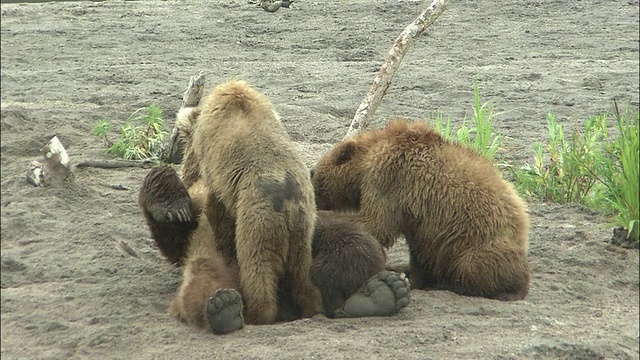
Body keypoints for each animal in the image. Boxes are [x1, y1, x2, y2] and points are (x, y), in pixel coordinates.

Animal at [310, 120, 528, 300]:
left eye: (312, 174)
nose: (310, 177)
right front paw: (413, 277)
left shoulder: (388, 177)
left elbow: (375, 223)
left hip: (481, 241)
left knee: (475, 264)